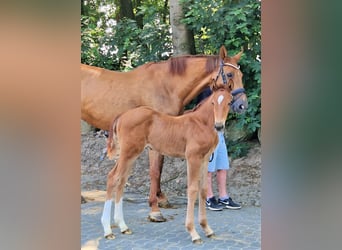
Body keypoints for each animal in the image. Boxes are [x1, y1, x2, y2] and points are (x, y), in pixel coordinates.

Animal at [81, 45, 246, 221]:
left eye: (241, 75)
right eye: (230, 74)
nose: (243, 105)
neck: (167, 86)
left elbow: (159, 169)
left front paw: (161, 199)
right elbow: (154, 171)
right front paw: (154, 210)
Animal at [101, 87, 234, 242]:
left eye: (229, 102)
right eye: (213, 102)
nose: (219, 126)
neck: (201, 123)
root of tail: (122, 115)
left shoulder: (205, 159)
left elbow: (203, 190)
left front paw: (207, 229)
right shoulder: (193, 158)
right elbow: (192, 190)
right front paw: (193, 232)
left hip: (131, 155)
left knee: (121, 181)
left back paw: (123, 226)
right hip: (127, 153)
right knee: (112, 177)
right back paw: (108, 230)